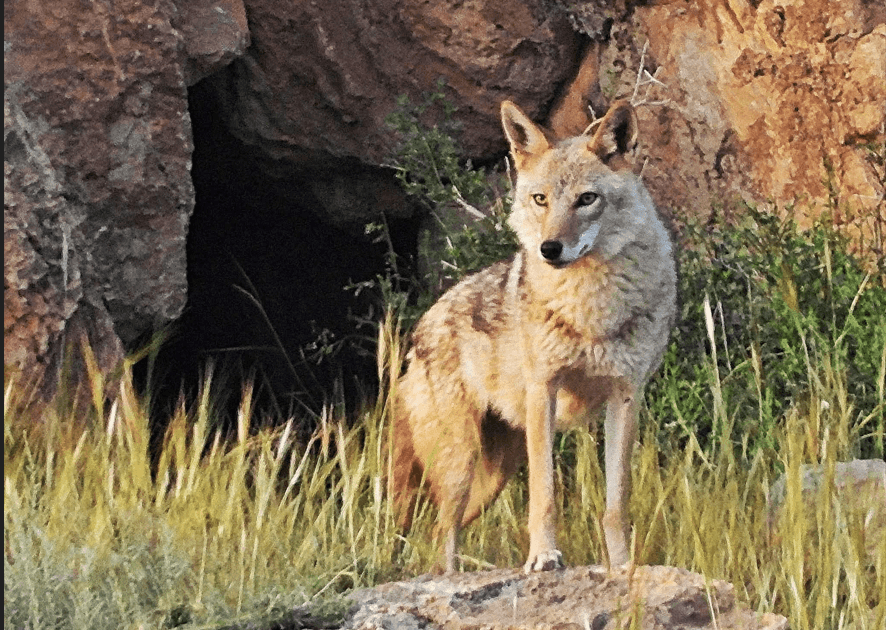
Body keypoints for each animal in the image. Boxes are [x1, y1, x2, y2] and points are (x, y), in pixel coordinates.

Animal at [390, 99, 677, 573]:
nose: (549, 249)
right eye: (540, 199)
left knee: (437, 533)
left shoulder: (625, 397)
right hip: (462, 461)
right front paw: (543, 557)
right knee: (441, 531)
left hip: (492, 477)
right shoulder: (544, 389)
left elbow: (616, 504)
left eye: (586, 199)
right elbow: (545, 495)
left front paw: (622, 568)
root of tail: (419, 329)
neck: (590, 309)